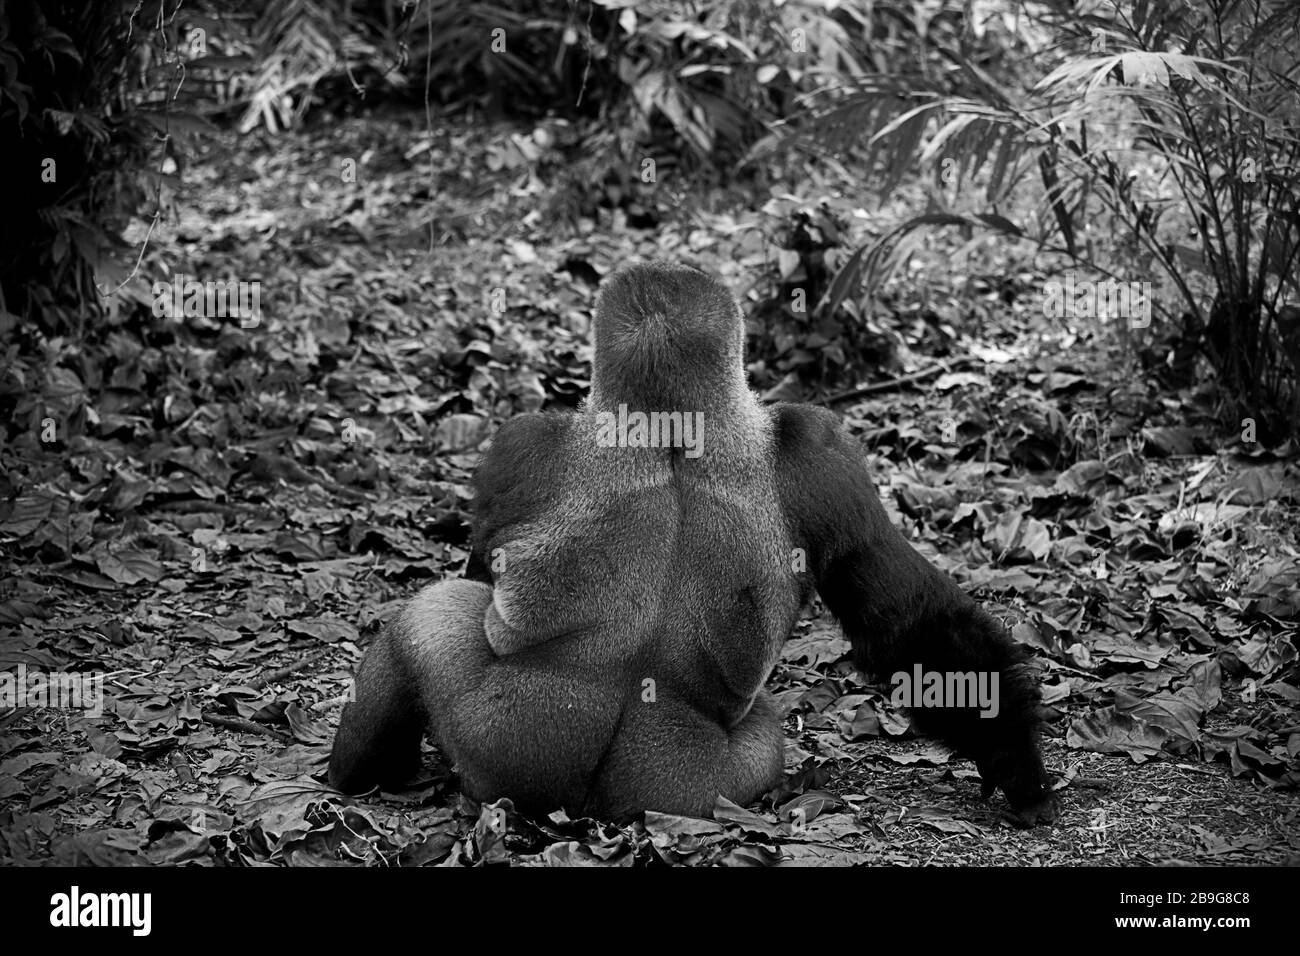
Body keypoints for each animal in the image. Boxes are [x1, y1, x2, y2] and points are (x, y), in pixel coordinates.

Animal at [328, 261, 1060, 827]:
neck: (673, 423)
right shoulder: (825, 455)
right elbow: (907, 617)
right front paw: (1017, 763)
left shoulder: (520, 443)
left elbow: (909, 620)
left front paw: (1015, 763)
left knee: (427, 619)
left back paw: (357, 774)